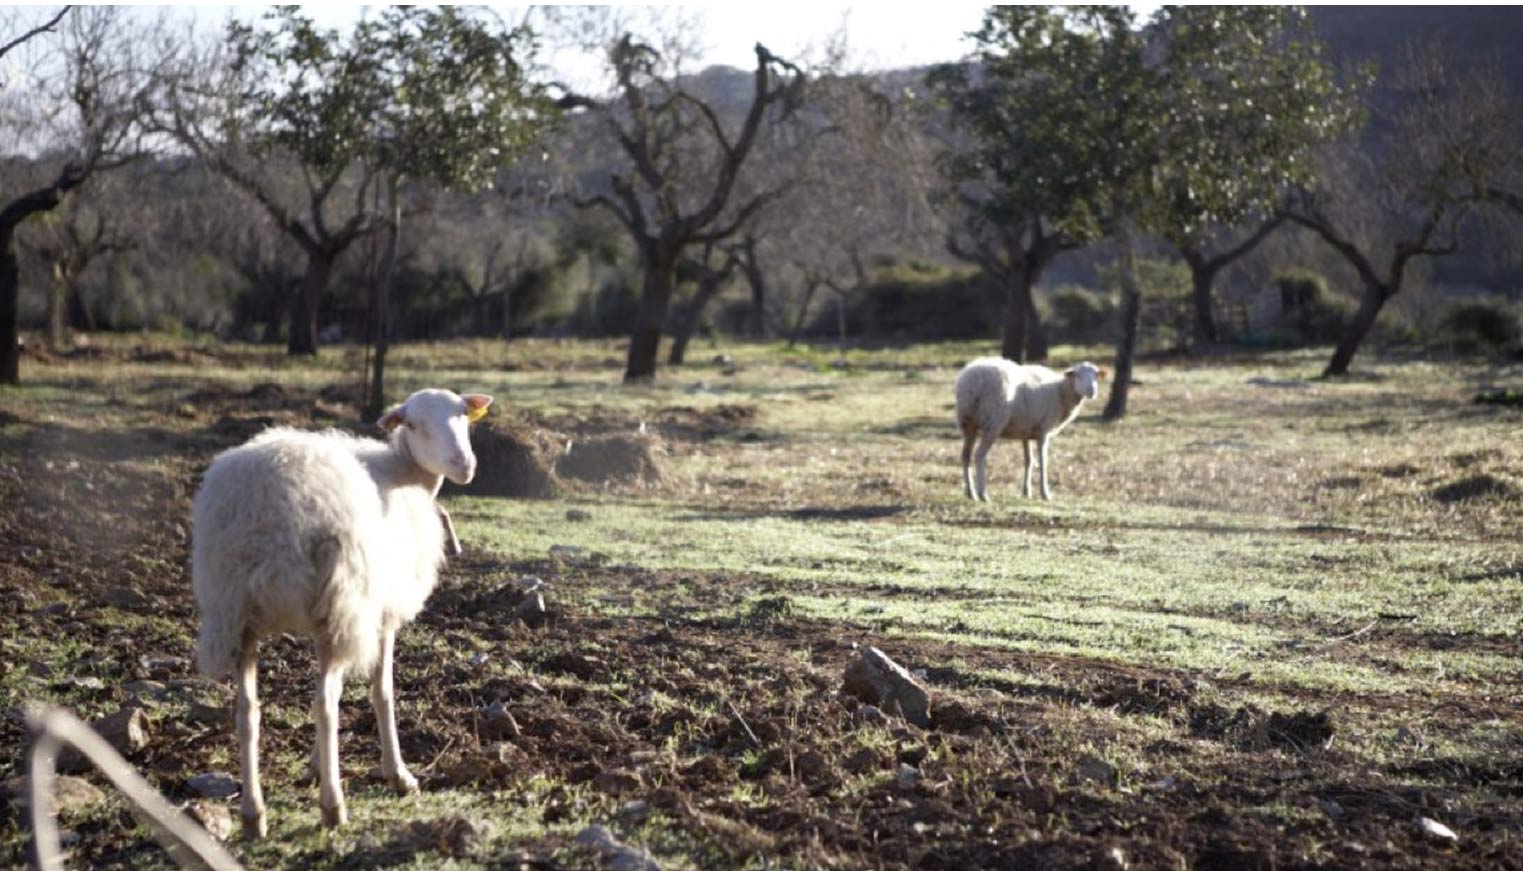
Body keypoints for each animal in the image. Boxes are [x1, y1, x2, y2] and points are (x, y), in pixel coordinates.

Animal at [187, 388, 490, 834]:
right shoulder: (379, 611)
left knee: (247, 711)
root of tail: (265, 516)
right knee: (325, 702)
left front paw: (315, 764)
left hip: (237, 611)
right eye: (414, 424)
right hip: (337, 600)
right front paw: (398, 774)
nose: (464, 465)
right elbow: (382, 691)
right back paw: (333, 806)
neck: (405, 472)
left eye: (464, 417)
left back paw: (253, 813)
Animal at [956, 357, 1102, 499]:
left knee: (965, 455)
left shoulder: (1026, 432)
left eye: (1095, 375)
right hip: (993, 422)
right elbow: (1043, 462)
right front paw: (1045, 493)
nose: (1092, 391)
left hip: (968, 423)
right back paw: (982, 494)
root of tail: (972, 382)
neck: (1060, 392)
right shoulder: (1043, 431)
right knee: (979, 455)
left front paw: (1027, 492)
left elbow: (1029, 461)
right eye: (1077, 375)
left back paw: (971, 493)